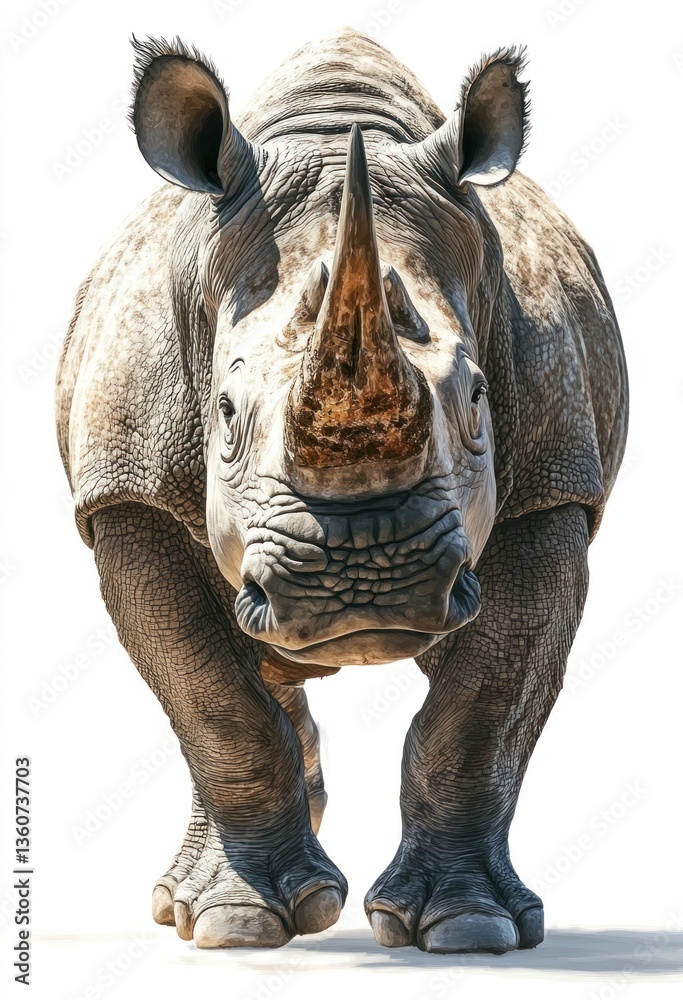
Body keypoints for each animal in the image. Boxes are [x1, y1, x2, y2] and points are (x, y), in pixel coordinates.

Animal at [55, 28, 628, 953]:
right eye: (222, 415)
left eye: (477, 401)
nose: (361, 581)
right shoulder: (125, 492)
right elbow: (208, 696)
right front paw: (239, 925)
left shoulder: (553, 488)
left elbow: (484, 704)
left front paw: (471, 927)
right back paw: (194, 907)